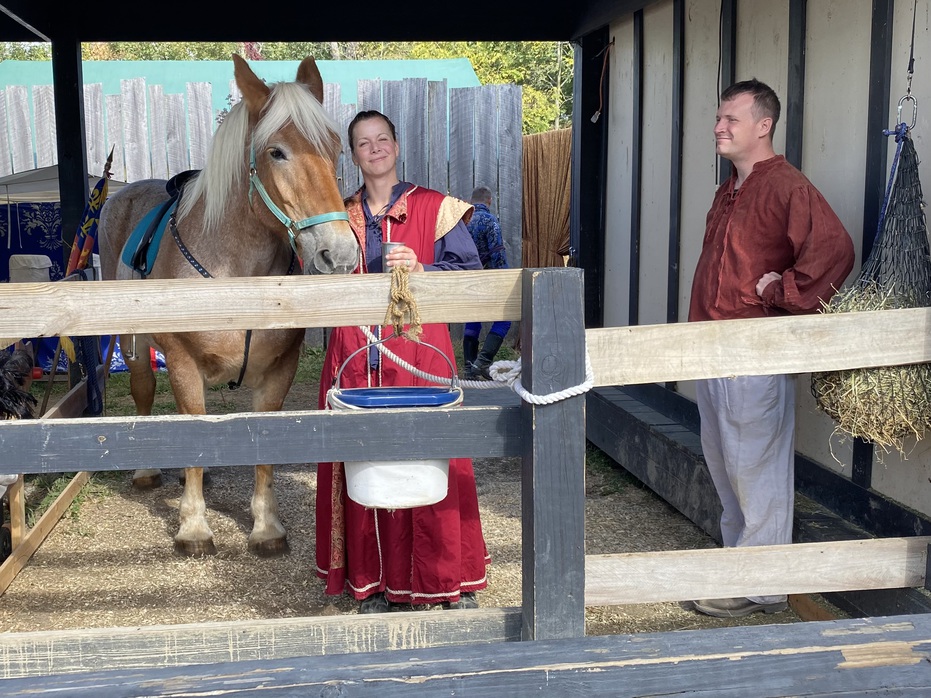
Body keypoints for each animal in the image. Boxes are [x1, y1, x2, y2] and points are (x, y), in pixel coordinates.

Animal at [98, 53, 360, 556]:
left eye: (336, 146)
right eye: (276, 152)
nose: (338, 253)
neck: (239, 278)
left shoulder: (278, 370)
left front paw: (266, 526)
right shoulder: (181, 363)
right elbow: (191, 436)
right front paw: (194, 526)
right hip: (134, 342)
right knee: (144, 391)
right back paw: (147, 470)